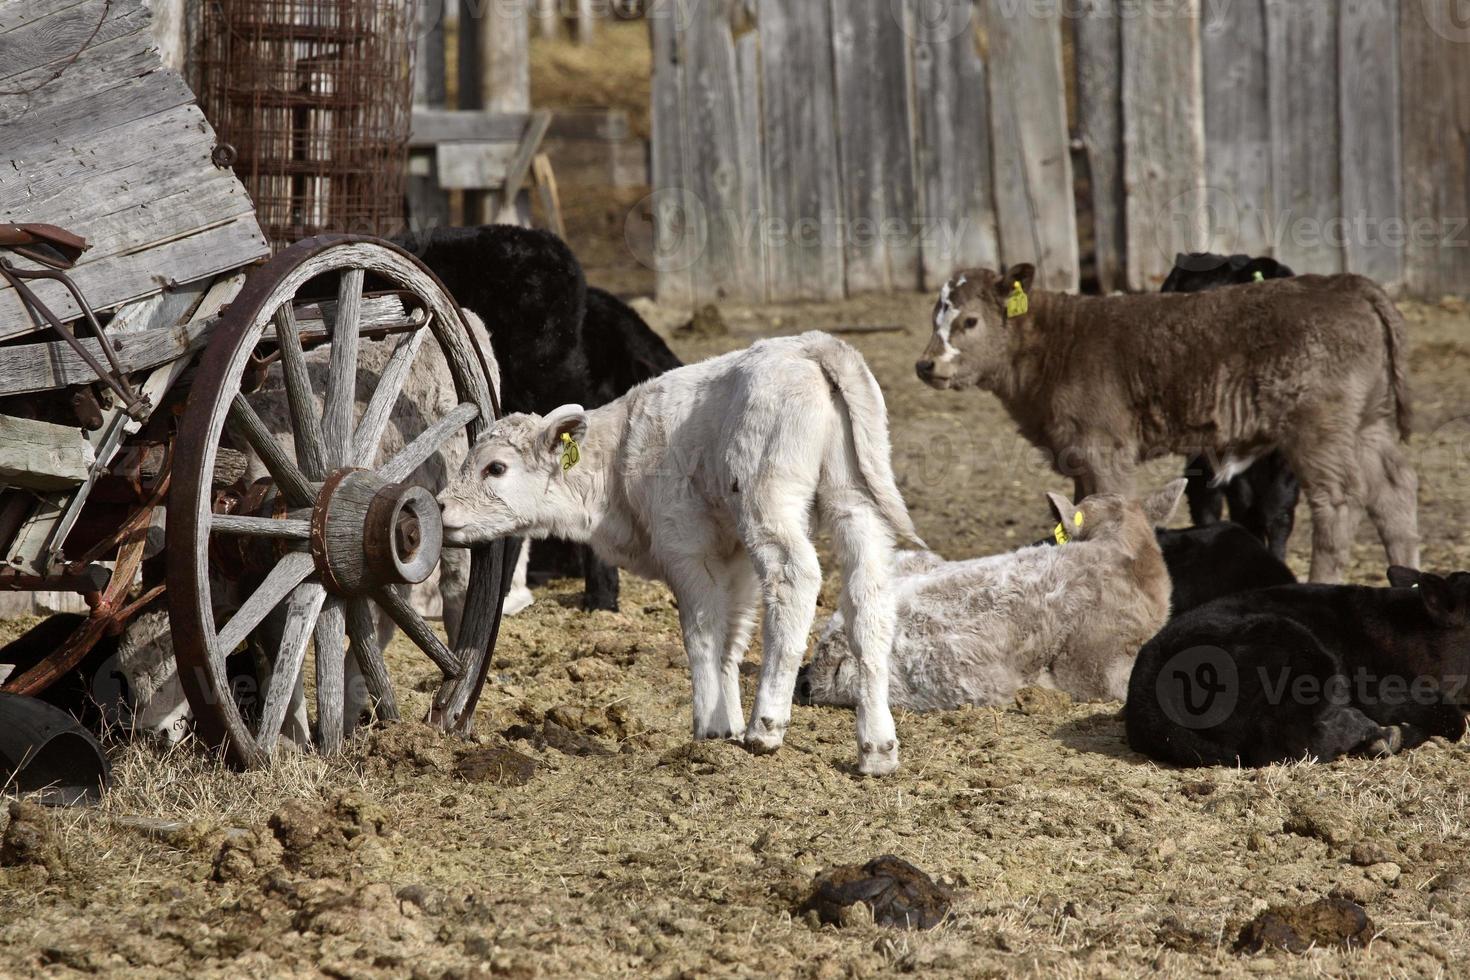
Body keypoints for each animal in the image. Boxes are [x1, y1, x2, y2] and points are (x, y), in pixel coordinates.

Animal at [435, 333, 923, 775]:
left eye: (496, 467)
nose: (440, 507)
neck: (617, 459)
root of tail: (810, 344)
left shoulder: (687, 548)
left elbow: (701, 634)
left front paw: (710, 727)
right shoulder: (734, 558)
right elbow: (730, 636)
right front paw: (727, 725)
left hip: (768, 501)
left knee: (794, 578)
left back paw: (766, 725)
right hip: (853, 500)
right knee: (868, 599)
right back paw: (877, 748)